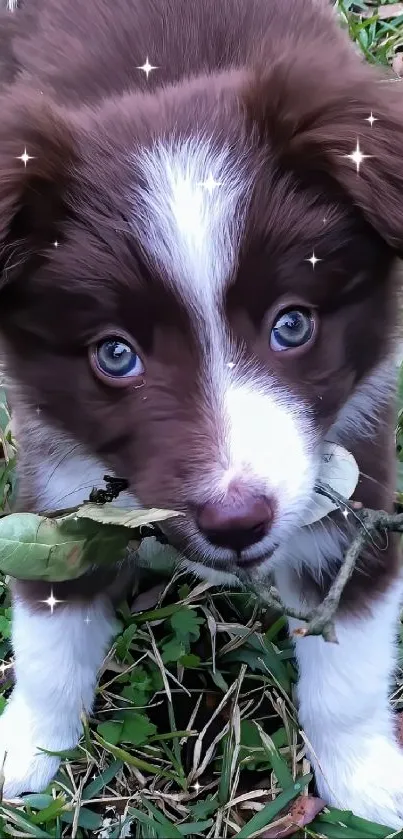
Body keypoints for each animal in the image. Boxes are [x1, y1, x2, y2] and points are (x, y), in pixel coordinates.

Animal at [0, 0, 403, 828]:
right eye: (115, 354)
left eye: (292, 324)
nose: (236, 520)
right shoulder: (59, 483)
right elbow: (49, 631)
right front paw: (25, 749)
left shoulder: (355, 475)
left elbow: (348, 651)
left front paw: (364, 783)